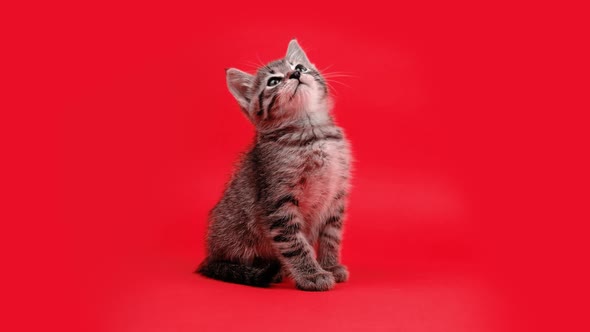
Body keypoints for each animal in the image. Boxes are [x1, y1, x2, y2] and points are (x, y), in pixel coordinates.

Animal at [197, 40, 354, 292]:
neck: (312, 135)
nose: (296, 73)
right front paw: (311, 274)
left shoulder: (336, 196)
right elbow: (294, 242)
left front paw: (330, 265)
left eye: (299, 66)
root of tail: (210, 257)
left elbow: (331, 236)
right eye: (273, 81)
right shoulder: (278, 201)